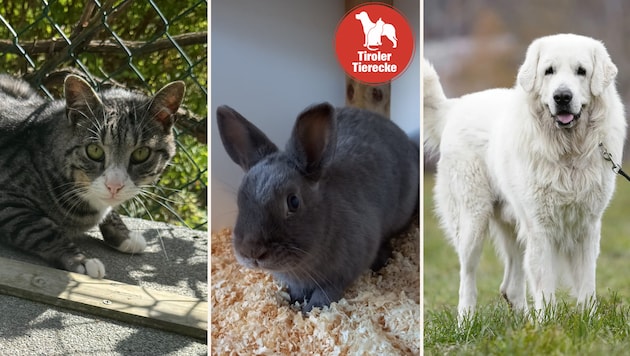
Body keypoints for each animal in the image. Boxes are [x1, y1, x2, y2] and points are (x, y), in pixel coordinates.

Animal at [0, 74, 186, 278]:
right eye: (94, 151)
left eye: (141, 153)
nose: (114, 186)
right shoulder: (8, 201)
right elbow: (43, 230)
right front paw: (82, 261)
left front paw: (125, 236)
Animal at [217, 102, 420, 312]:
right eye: (240, 197)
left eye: (293, 201)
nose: (251, 252)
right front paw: (294, 302)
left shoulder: (341, 274)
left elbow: (326, 293)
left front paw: (311, 309)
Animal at [424, 34, 628, 322]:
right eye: (549, 71)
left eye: (581, 71)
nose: (562, 96)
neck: (568, 151)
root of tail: (456, 106)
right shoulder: (540, 228)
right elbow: (545, 286)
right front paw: (549, 325)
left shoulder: (587, 226)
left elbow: (587, 283)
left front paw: (588, 320)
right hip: (473, 220)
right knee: (467, 276)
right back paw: (466, 322)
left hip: (513, 223)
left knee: (510, 285)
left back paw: (524, 321)